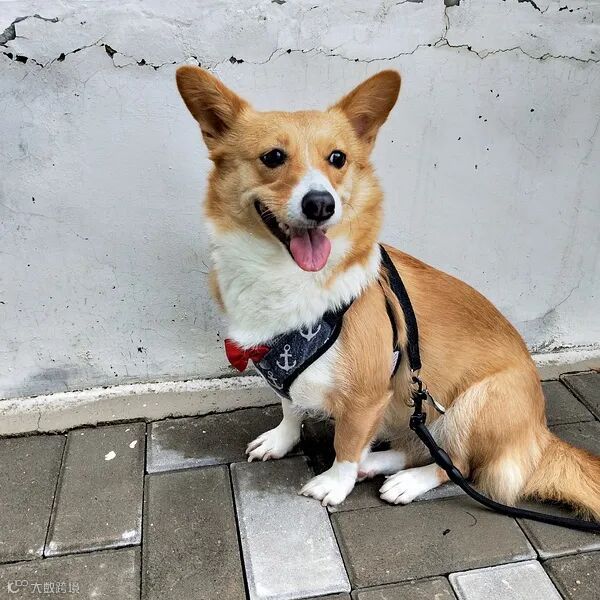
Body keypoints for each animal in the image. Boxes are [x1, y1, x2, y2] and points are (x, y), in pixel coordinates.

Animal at [176, 66, 600, 516]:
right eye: (273, 157)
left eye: (338, 158)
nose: (321, 204)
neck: (285, 277)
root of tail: (539, 438)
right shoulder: (282, 367)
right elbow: (290, 407)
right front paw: (280, 440)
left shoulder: (367, 395)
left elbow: (346, 443)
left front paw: (334, 484)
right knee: (418, 447)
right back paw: (376, 463)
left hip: (475, 403)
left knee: (456, 464)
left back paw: (405, 481)